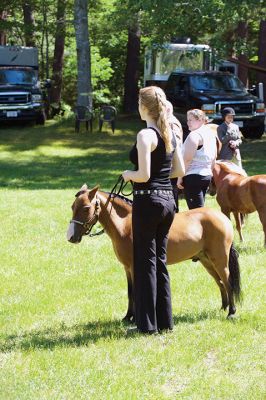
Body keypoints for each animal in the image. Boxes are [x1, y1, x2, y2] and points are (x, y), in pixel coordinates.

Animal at [68, 186, 241, 320]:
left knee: (227, 282)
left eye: (86, 208)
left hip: (219, 260)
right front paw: (128, 317)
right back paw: (223, 308)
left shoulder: (135, 267)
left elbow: (136, 292)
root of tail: (222, 217)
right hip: (207, 262)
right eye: (72, 207)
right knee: (220, 283)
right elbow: (130, 292)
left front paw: (135, 318)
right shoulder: (127, 268)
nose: (71, 237)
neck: (127, 226)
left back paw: (231, 312)